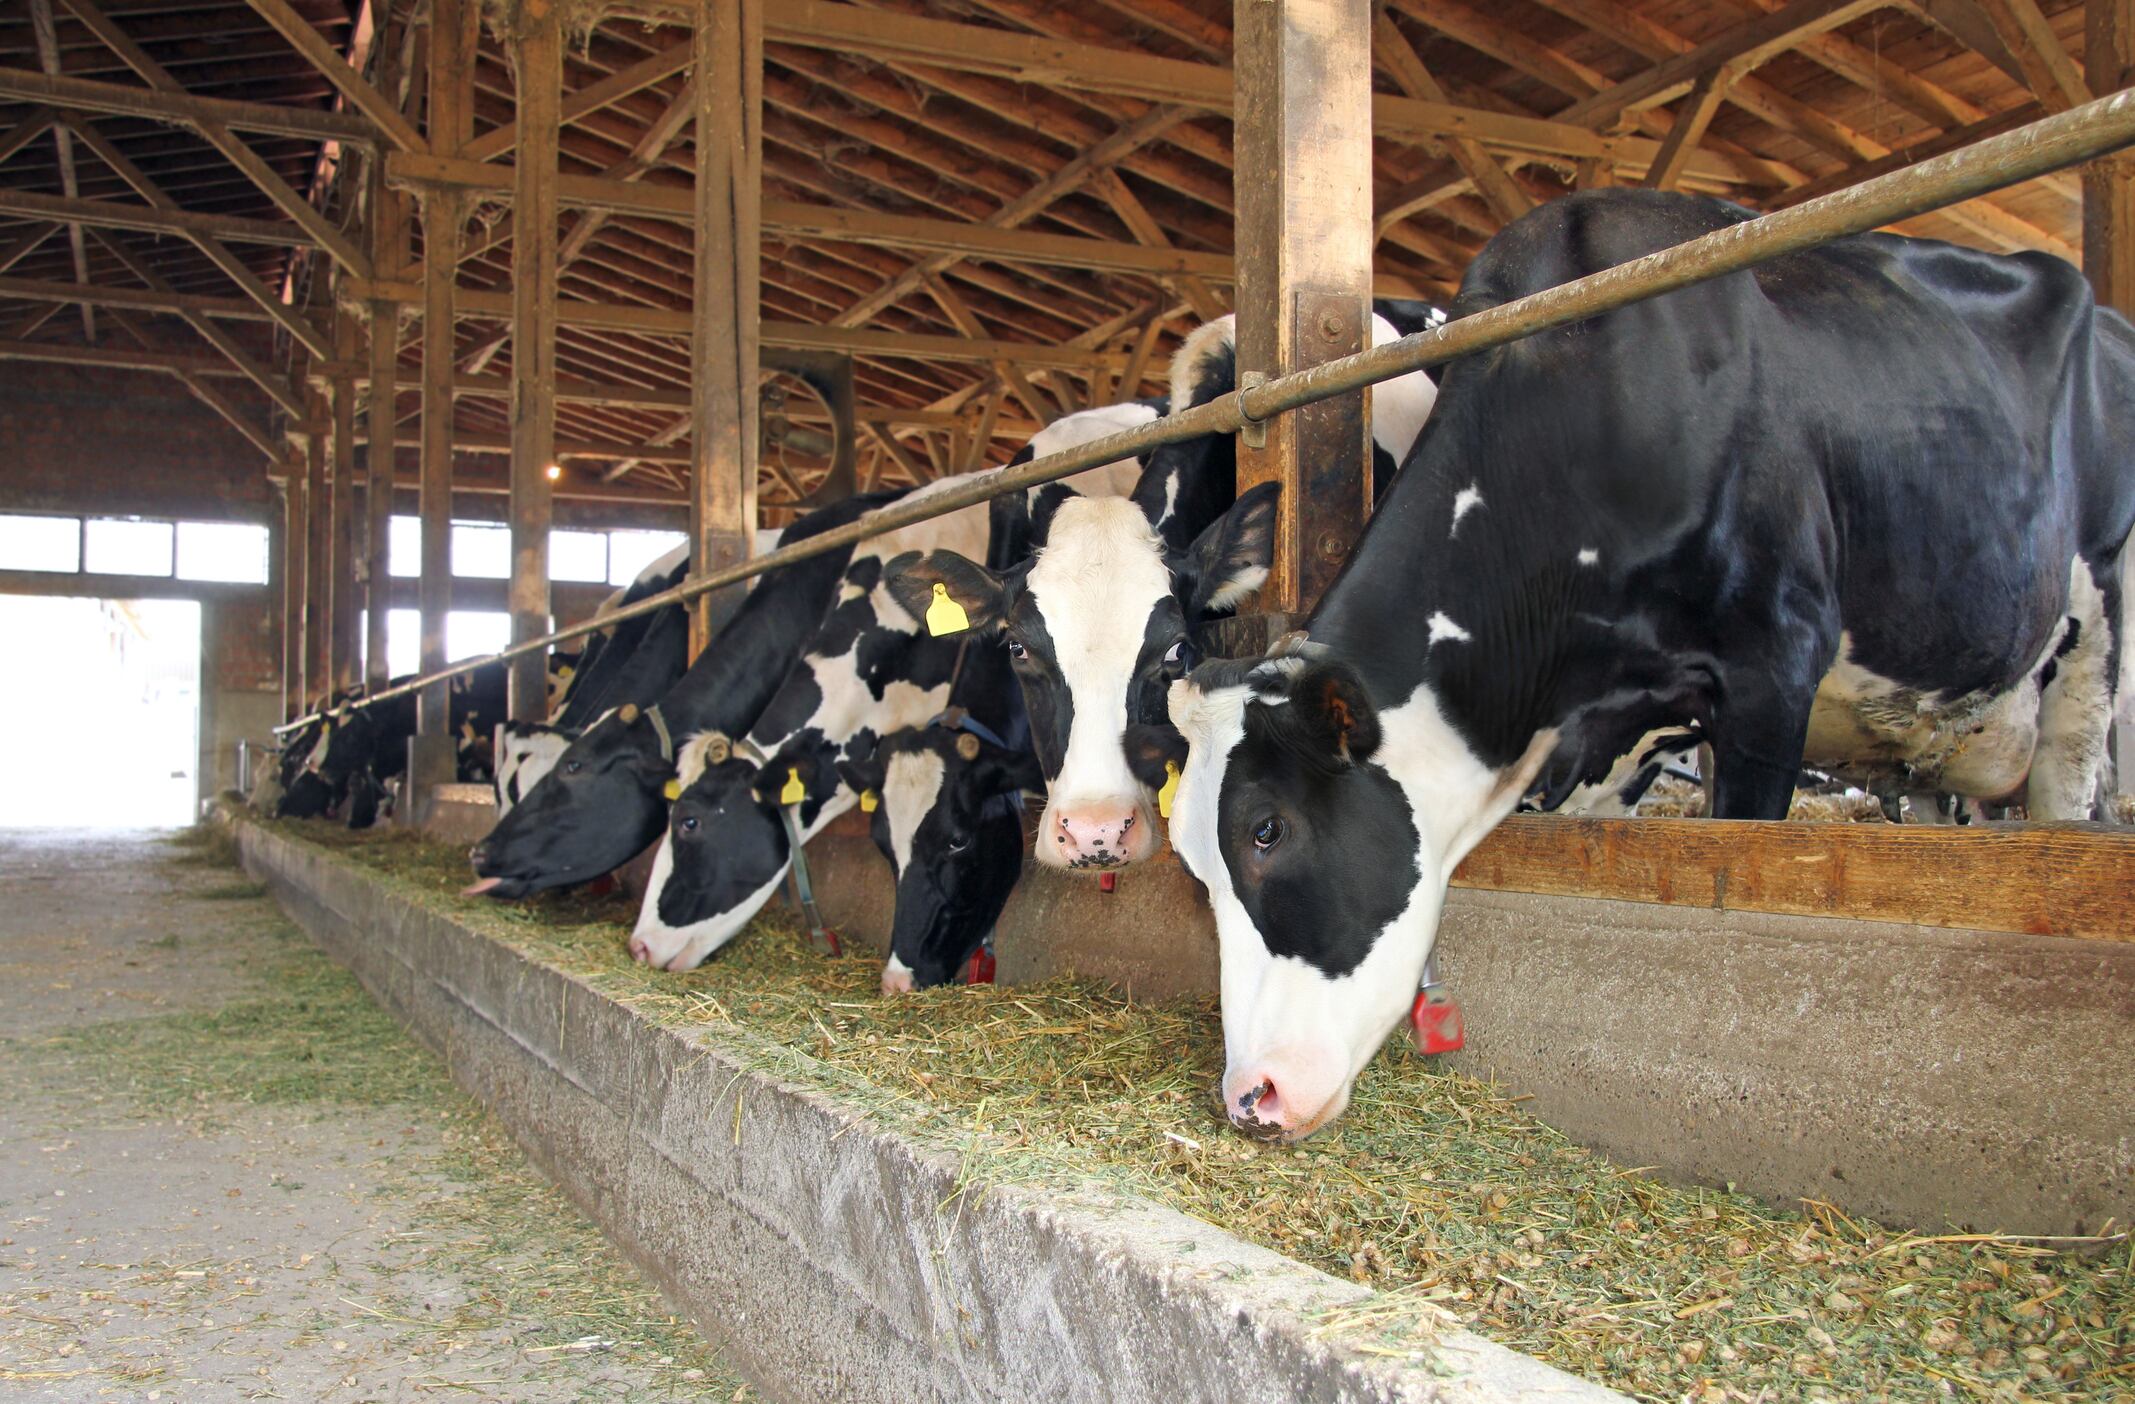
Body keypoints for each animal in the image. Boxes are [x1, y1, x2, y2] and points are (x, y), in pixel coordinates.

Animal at [1159, 190, 2135, 1144]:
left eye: (1266, 830)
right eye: (1192, 862)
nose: (1250, 1097)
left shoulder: (1775, 668)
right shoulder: (1600, 742)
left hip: (2093, 634)